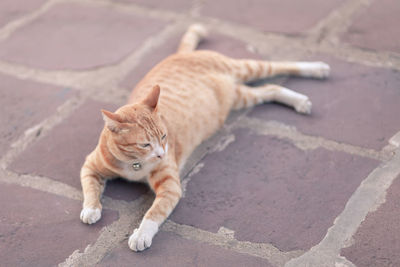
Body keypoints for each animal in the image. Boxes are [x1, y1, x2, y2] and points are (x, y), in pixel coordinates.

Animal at [79, 24, 330, 252]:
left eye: (164, 136)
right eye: (145, 144)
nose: (161, 154)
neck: (134, 164)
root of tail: (179, 55)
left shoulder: (170, 187)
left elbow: (153, 212)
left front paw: (141, 234)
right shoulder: (90, 165)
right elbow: (90, 187)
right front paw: (91, 209)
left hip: (246, 68)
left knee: (280, 66)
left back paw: (316, 68)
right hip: (239, 97)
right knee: (271, 88)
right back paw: (299, 100)